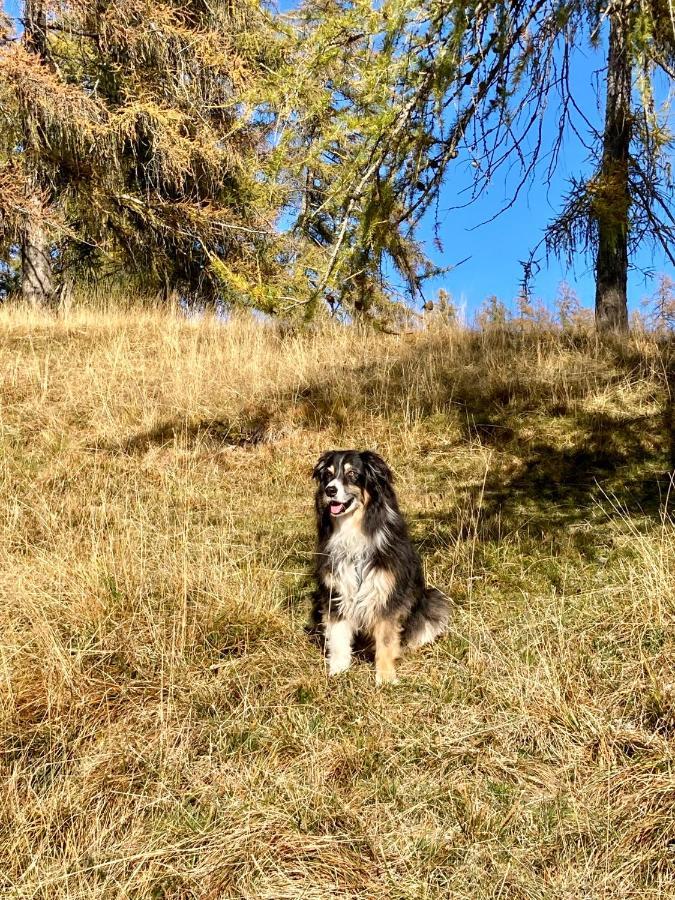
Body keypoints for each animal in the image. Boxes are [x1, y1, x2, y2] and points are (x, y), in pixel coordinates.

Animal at [312, 450, 448, 684]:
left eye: (352, 474)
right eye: (328, 474)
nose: (330, 490)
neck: (353, 528)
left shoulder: (387, 596)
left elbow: (385, 640)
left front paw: (385, 679)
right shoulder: (335, 591)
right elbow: (338, 636)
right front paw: (338, 670)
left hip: (433, 599)